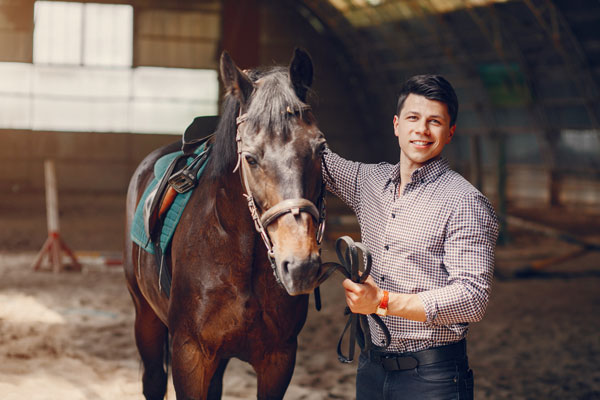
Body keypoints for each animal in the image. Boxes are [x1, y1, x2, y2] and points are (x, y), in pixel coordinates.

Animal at [123, 49, 328, 400]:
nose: (301, 265)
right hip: (146, 318)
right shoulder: (189, 353)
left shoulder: (278, 359)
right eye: (251, 158)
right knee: (153, 380)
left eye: (319, 148)